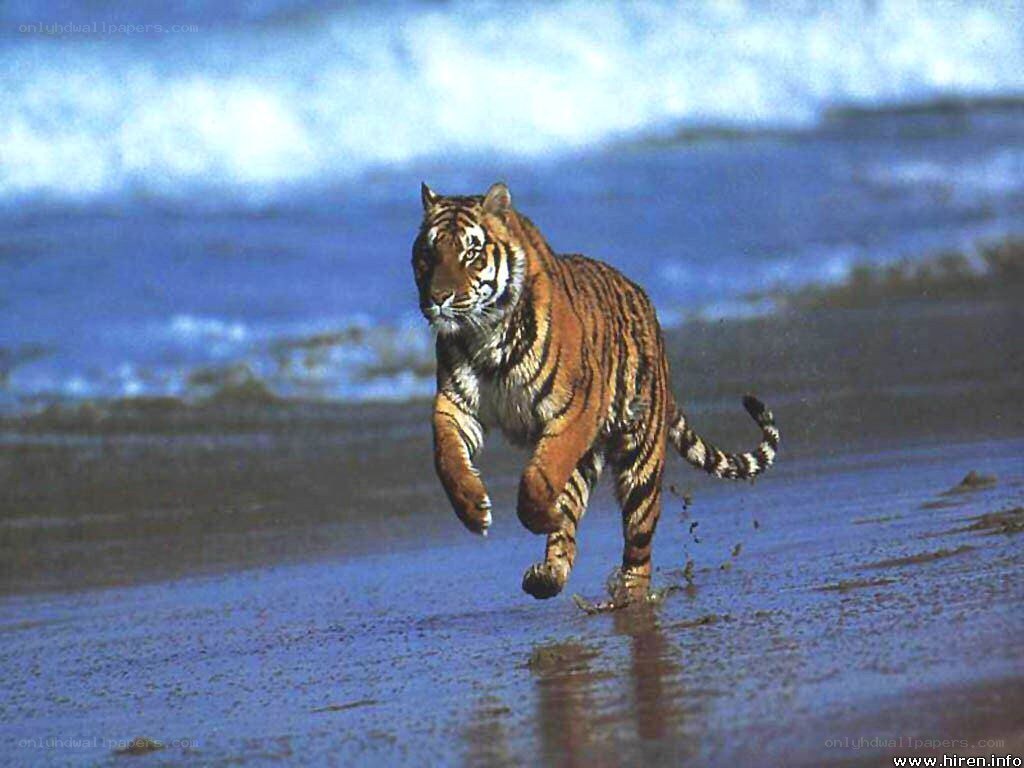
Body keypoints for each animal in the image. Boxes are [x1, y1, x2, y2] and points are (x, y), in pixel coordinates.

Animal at [412, 181, 780, 600]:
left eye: (470, 254)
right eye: (428, 253)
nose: (438, 298)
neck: (484, 335)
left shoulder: (577, 407)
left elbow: (540, 476)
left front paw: (539, 515)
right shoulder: (456, 405)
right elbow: (447, 459)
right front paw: (474, 509)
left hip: (640, 462)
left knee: (639, 545)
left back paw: (628, 594)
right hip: (589, 458)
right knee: (569, 528)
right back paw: (548, 576)